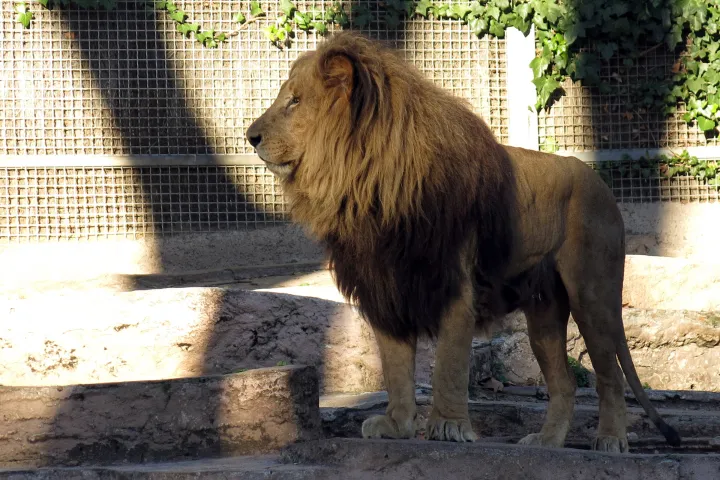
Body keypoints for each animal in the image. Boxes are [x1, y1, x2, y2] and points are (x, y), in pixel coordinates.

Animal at [245, 31, 681, 452]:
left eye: (295, 101)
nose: (250, 137)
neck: (366, 186)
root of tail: (602, 184)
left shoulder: (454, 284)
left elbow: (448, 365)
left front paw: (448, 427)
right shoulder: (386, 287)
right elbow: (395, 368)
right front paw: (397, 426)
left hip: (593, 297)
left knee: (610, 377)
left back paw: (611, 440)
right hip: (543, 311)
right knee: (565, 382)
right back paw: (548, 441)